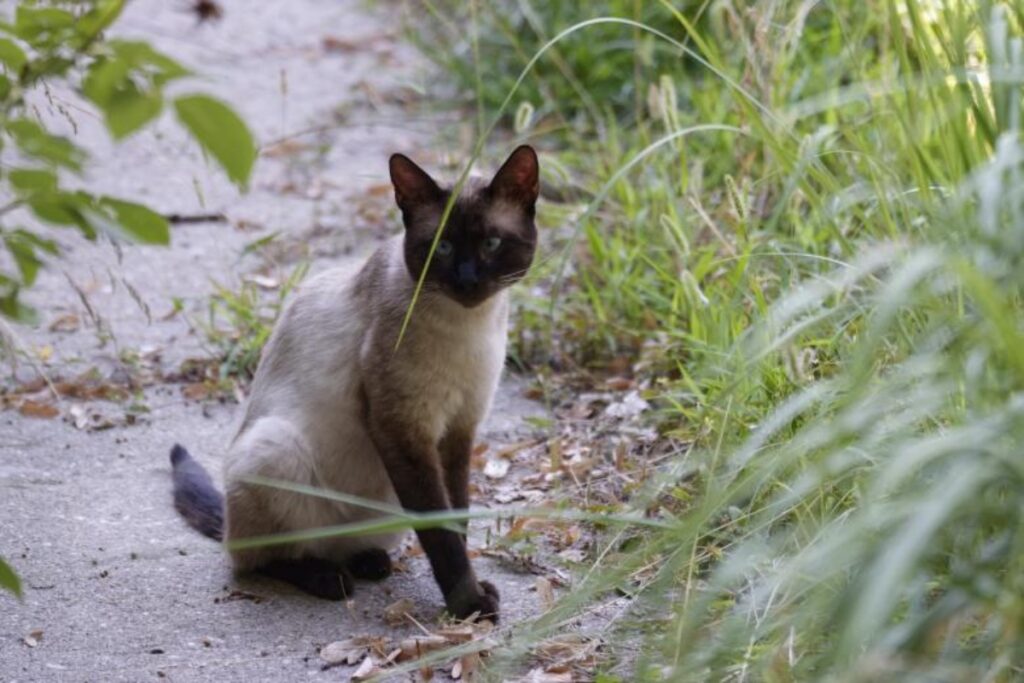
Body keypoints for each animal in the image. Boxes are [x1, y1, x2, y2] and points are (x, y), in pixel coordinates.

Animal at [172, 145, 540, 626]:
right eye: (441, 248)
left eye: (491, 244)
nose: (466, 281)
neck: (471, 326)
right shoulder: (402, 430)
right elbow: (442, 535)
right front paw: (468, 605)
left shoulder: (459, 430)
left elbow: (457, 516)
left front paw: (474, 596)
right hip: (274, 445)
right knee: (260, 557)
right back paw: (329, 578)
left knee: (345, 548)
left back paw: (368, 562)